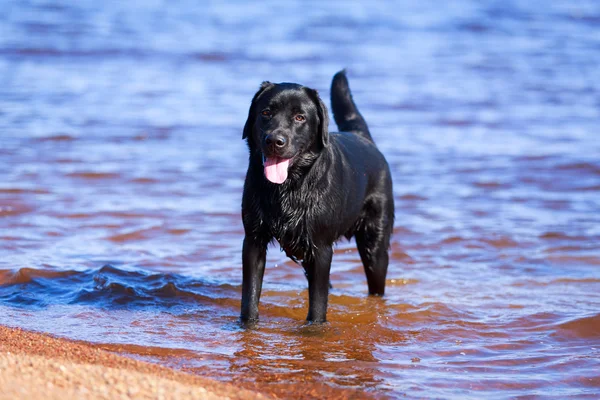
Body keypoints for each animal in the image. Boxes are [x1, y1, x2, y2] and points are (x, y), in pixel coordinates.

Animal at [239, 70, 394, 324]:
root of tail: (363, 138)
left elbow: (318, 303)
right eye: (266, 113)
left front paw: (315, 328)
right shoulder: (253, 240)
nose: (274, 141)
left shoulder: (321, 249)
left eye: (300, 117)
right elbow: (250, 296)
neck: (289, 188)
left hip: (375, 245)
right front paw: (248, 325)